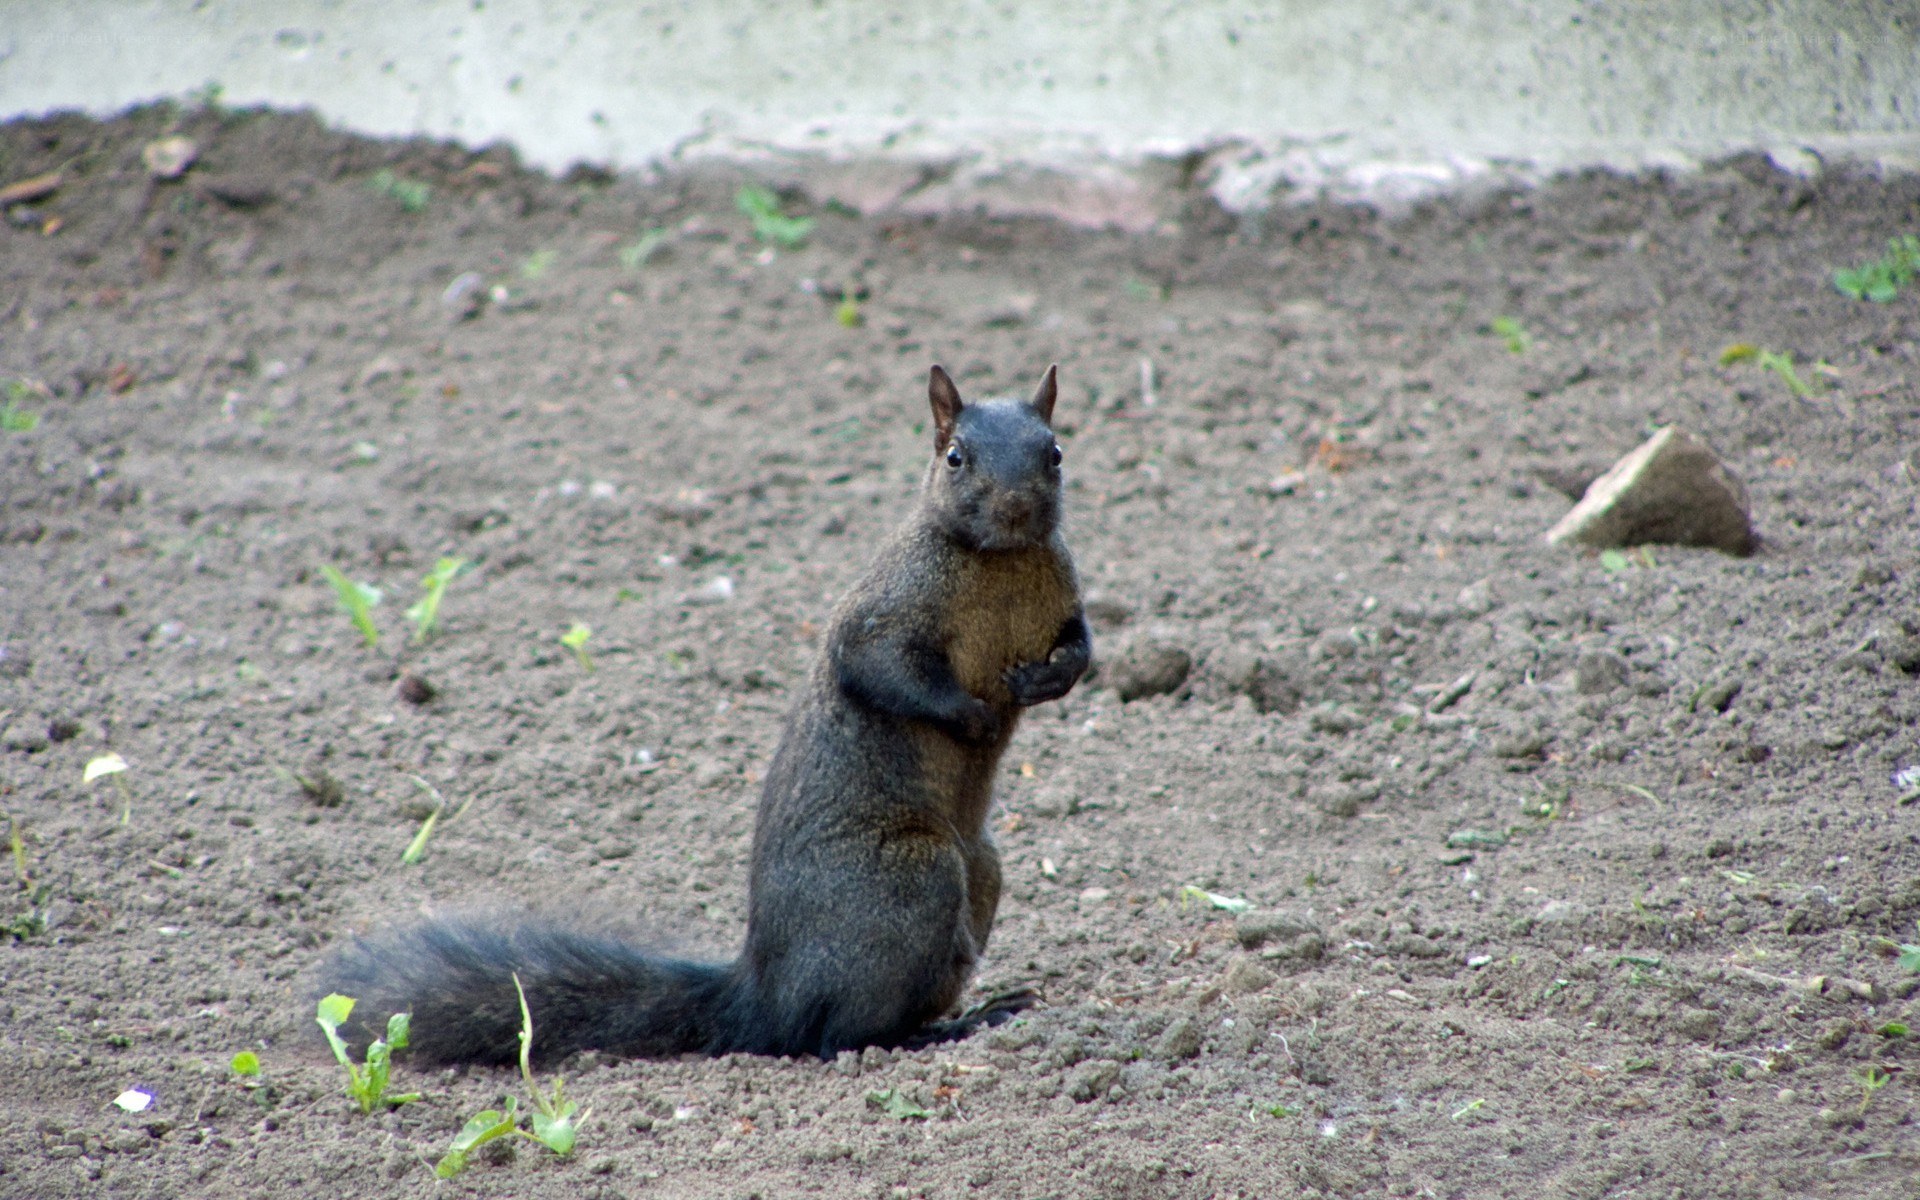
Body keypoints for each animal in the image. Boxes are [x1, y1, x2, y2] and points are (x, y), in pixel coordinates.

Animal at [323, 364, 1091, 1063]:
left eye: (1055, 451)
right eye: (955, 457)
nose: (1017, 508)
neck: (999, 560)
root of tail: (763, 999)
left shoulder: (1064, 602)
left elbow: (1081, 649)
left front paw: (1047, 679)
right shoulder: (883, 612)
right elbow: (879, 668)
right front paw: (972, 716)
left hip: (980, 871)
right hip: (910, 881)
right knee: (839, 1036)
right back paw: (943, 1029)